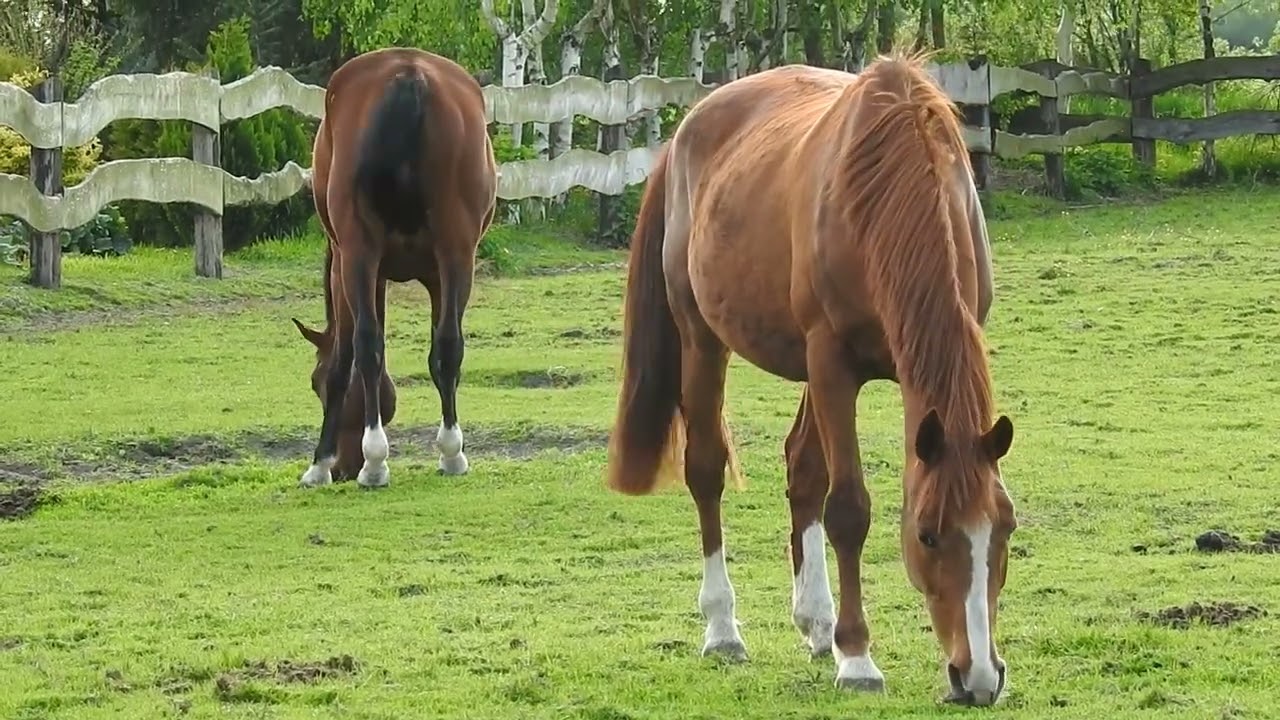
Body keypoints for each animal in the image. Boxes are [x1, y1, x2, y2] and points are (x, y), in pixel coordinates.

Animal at [292, 47, 497, 489]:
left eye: (314, 383)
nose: (344, 468)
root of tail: (409, 73)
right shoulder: (435, 273)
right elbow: (443, 351)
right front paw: (449, 449)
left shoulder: (348, 268)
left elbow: (346, 359)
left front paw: (320, 464)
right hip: (457, 254)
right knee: (449, 345)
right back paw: (451, 454)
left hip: (358, 256)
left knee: (366, 346)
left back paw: (374, 463)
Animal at [605, 53, 1018, 706]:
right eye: (927, 535)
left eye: (1005, 531)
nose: (977, 677)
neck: (889, 190)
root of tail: (686, 129)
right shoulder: (832, 365)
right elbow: (849, 508)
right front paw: (859, 658)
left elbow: (818, 482)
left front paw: (839, 639)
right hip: (703, 339)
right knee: (706, 471)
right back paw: (724, 629)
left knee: (802, 468)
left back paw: (817, 623)